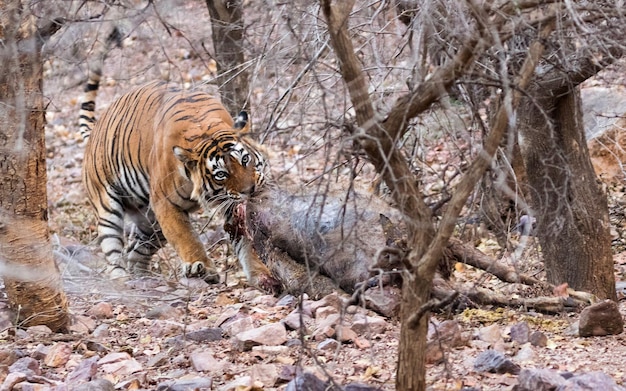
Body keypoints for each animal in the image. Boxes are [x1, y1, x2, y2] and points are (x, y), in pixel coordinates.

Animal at [80, 33, 278, 294]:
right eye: (221, 174)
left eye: (245, 159)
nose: (250, 190)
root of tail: (95, 131)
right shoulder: (165, 204)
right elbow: (186, 237)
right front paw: (200, 267)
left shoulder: (230, 206)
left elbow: (247, 242)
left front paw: (262, 275)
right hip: (107, 207)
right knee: (114, 252)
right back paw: (121, 281)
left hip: (150, 223)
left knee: (135, 252)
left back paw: (142, 278)